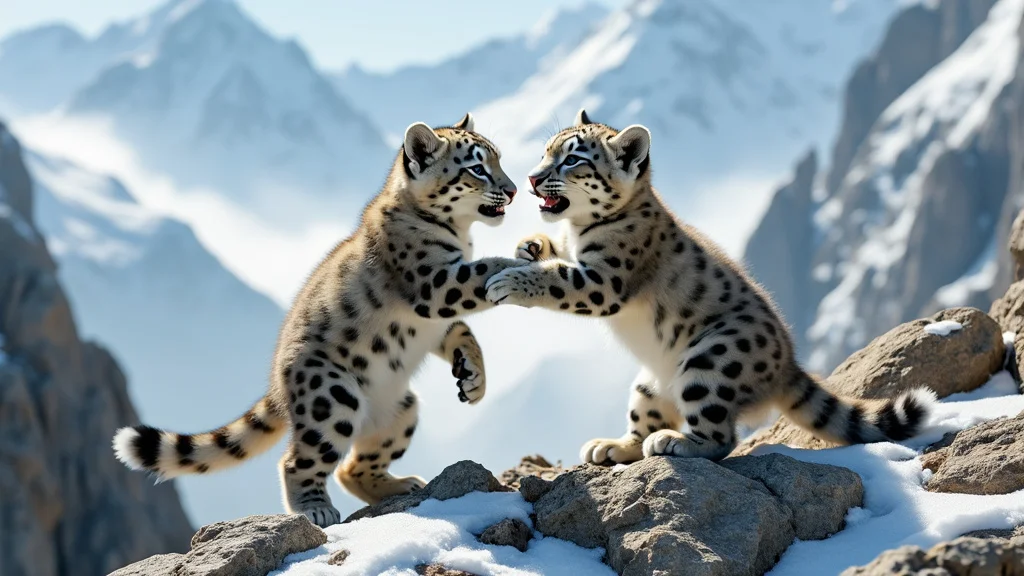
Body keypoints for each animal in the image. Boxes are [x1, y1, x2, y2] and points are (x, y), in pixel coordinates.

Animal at [114, 114, 526, 527]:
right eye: (476, 168)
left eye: (499, 159)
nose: (513, 190)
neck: (460, 234)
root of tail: (278, 387)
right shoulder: (433, 284)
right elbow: (480, 273)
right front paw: (524, 262)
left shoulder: (437, 318)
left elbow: (461, 330)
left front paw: (473, 379)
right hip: (332, 399)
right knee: (297, 461)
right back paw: (315, 508)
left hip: (401, 411)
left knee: (352, 469)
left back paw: (399, 485)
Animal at [486, 109, 935, 465]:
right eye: (545, 152)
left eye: (573, 159)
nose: (532, 178)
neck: (578, 230)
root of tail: (788, 365)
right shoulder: (572, 249)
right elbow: (553, 252)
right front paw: (528, 246)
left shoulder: (605, 279)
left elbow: (559, 279)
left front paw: (508, 281)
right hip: (648, 384)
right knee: (646, 419)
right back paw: (613, 446)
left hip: (712, 362)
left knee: (721, 437)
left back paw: (675, 443)